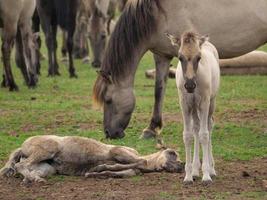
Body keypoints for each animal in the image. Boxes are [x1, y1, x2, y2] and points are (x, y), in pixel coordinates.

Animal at [0, 134, 184, 183]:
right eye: (173, 153)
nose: (182, 165)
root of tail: (24, 144)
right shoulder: (118, 151)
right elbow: (140, 161)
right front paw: (97, 168)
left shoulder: (131, 171)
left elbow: (119, 172)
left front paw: (95, 173)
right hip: (48, 149)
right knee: (22, 165)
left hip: (47, 167)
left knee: (25, 168)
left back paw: (32, 179)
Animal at [91, 0, 267, 139]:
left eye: (108, 100)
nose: (109, 133)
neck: (158, 12)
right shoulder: (162, 55)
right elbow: (159, 90)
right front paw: (152, 128)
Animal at [168, 31, 222, 184]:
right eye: (180, 57)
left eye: (199, 57)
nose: (190, 85)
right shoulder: (185, 104)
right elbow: (188, 135)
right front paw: (188, 176)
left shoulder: (204, 103)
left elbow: (204, 135)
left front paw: (206, 176)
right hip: (193, 107)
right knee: (196, 127)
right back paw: (195, 170)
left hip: (211, 102)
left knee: (209, 126)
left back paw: (211, 169)